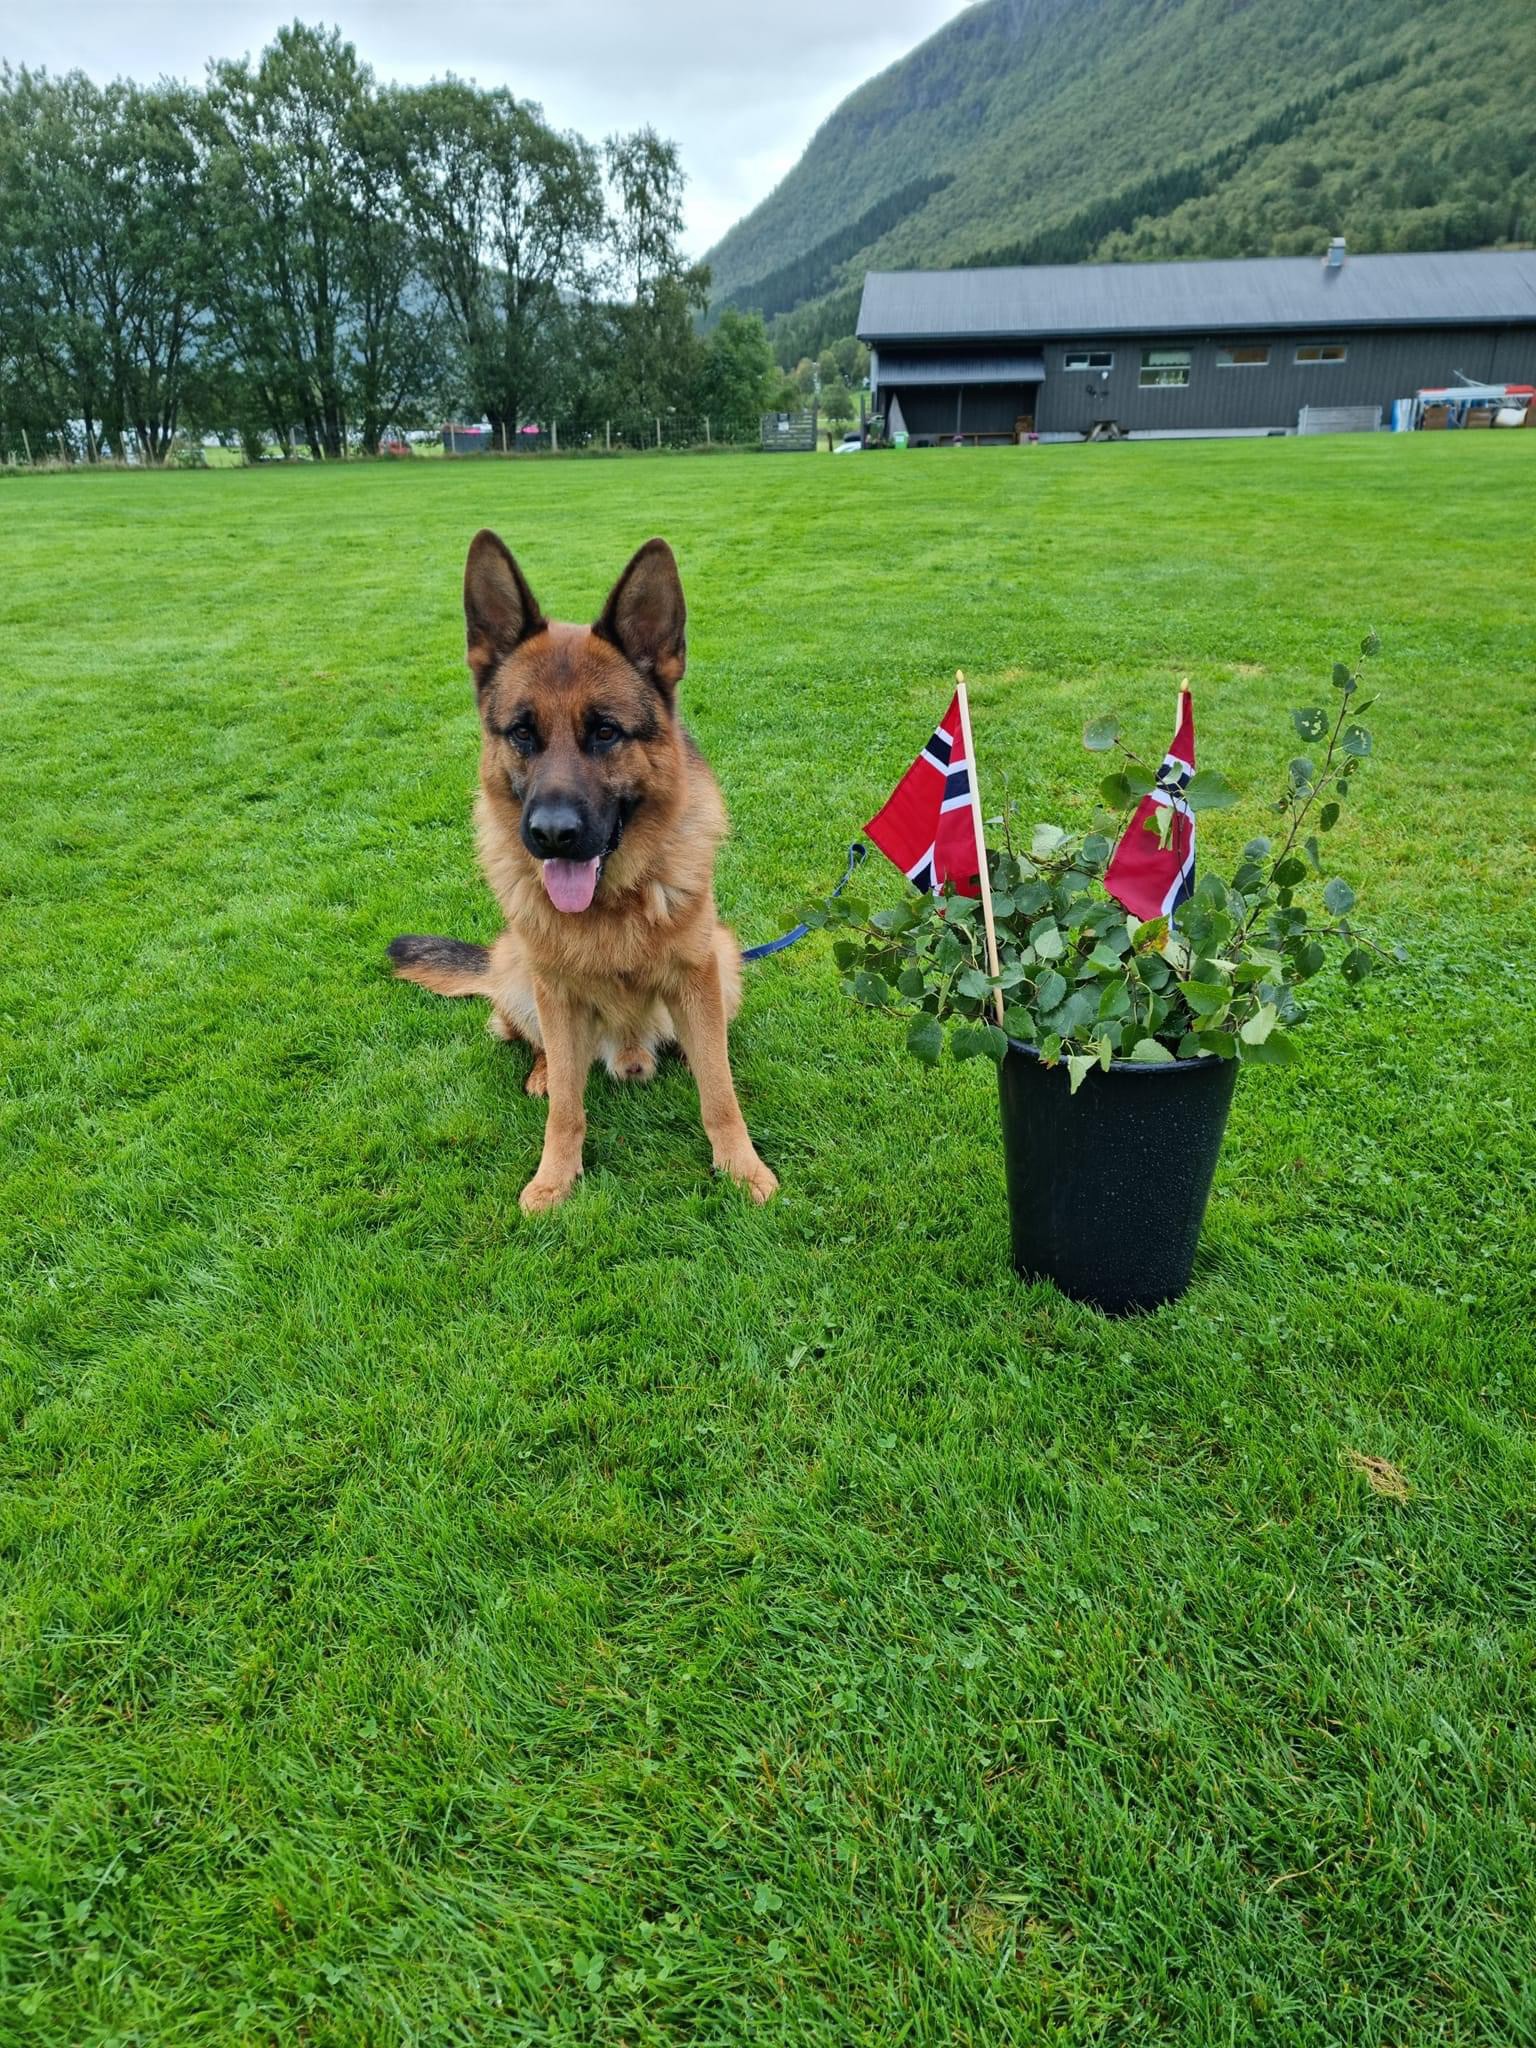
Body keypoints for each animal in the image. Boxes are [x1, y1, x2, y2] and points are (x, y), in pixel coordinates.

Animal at [388, 530, 778, 1213]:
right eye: (522, 732)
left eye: (604, 732)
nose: (551, 835)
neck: (612, 904)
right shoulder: (558, 994)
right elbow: (568, 1109)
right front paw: (554, 1178)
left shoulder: (697, 975)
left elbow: (720, 1092)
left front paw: (740, 1166)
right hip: (519, 968)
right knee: (537, 1043)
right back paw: (544, 1072)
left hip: (725, 960)